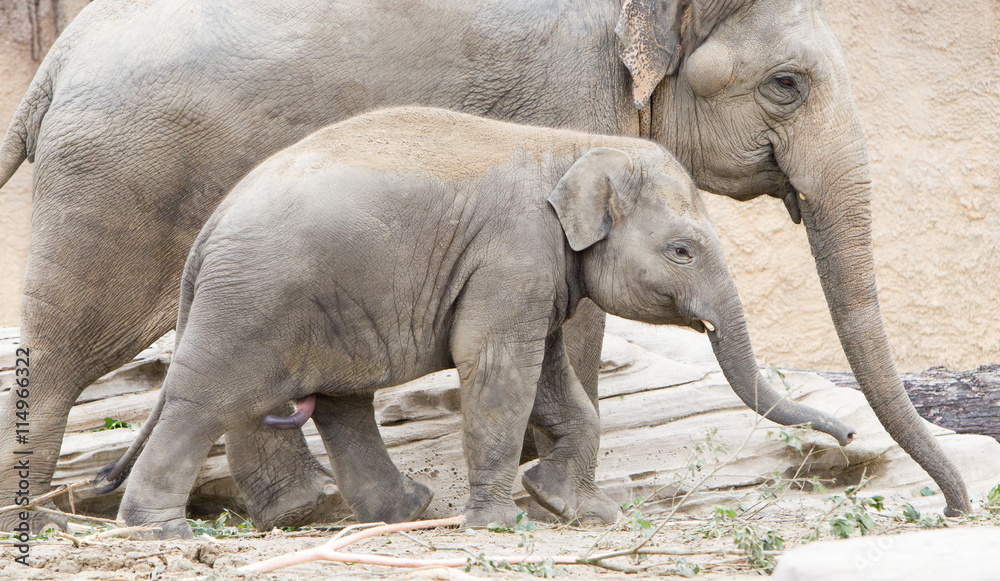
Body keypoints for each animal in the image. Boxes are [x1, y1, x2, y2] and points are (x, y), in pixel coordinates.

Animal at [95, 107, 854, 538]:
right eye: (682, 251)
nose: (847, 435)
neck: (572, 147)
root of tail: (209, 230)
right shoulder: (513, 252)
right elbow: (496, 364)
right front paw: (503, 522)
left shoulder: (534, 272)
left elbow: (549, 374)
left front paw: (577, 510)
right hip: (255, 298)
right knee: (209, 398)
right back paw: (160, 533)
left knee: (338, 400)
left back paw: (393, 509)